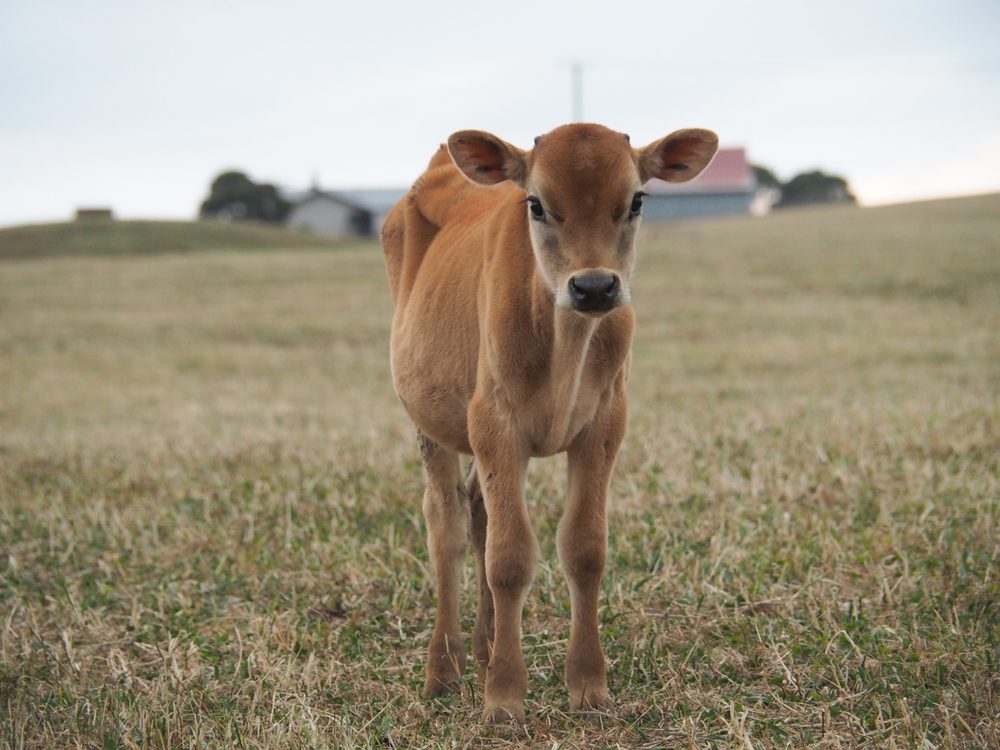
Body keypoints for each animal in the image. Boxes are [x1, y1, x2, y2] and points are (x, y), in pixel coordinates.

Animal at [378, 122, 716, 724]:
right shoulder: (495, 424)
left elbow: (584, 548)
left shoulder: (604, 426)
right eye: (535, 204)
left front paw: (588, 687)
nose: (594, 286)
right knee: (446, 525)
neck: (566, 340)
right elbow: (510, 558)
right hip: (429, 422)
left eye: (636, 200)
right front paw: (505, 699)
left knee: (478, 510)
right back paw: (444, 669)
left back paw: (485, 649)